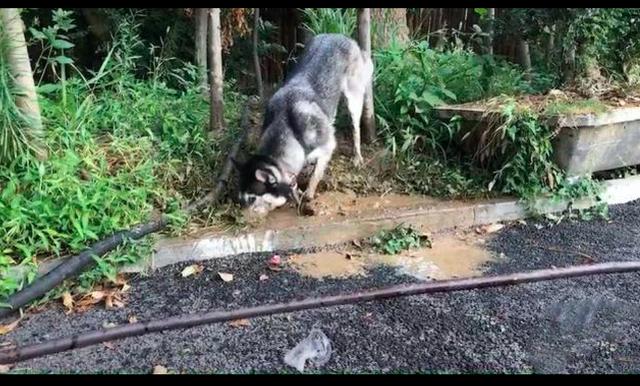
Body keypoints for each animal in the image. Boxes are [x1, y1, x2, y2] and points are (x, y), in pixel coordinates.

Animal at [238, 33, 372, 216]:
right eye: (240, 200)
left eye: (252, 199)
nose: (237, 218)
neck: (289, 129)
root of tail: (338, 35)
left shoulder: (328, 144)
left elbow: (316, 175)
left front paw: (308, 193)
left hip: (354, 98)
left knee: (356, 127)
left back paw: (357, 156)